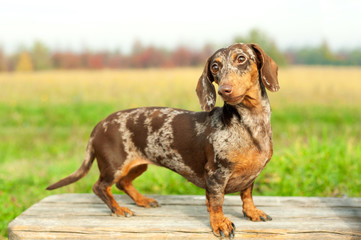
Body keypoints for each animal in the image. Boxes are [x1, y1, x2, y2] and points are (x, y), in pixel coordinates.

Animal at [47, 42, 278, 238]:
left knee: (123, 183)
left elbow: (246, 195)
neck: (249, 124)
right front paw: (220, 223)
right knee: (100, 187)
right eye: (215, 66)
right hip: (115, 166)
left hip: (138, 165)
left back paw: (142, 200)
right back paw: (118, 208)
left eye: (241, 58)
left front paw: (252, 212)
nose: (224, 90)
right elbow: (216, 202)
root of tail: (100, 124)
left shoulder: (250, 176)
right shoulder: (216, 173)